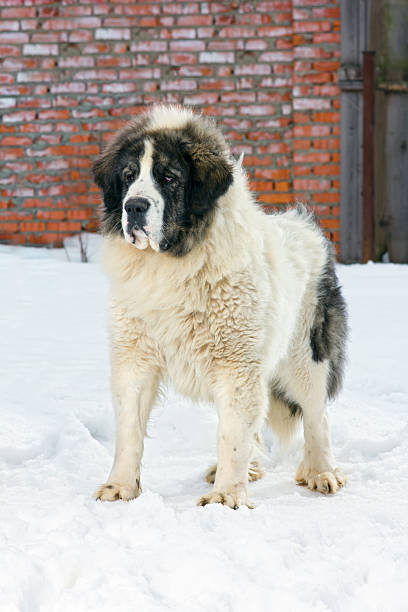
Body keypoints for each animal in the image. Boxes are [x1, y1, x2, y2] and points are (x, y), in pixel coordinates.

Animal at [92, 106, 348, 512]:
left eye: (168, 177)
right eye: (129, 176)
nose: (134, 206)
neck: (172, 264)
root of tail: (304, 224)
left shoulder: (236, 364)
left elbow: (232, 435)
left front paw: (227, 497)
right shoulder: (135, 357)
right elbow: (129, 430)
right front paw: (120, 488)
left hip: (306, 356)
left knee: (315, 415)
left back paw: (322, 472)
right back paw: (254, 469)